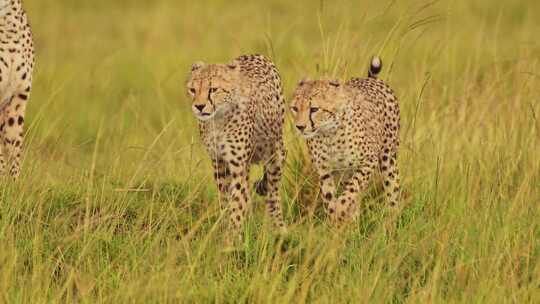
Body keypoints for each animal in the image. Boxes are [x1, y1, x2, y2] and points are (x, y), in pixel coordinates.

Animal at [186, 54, 286, 242]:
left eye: (213, 89)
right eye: (193, 90)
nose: (199, 106)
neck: (218, 119)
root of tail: (256, 54)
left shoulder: (239, 165)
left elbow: (238, 201)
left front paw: (232, 239)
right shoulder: (218, 162)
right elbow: (226, 199)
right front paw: (226, 228)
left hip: (276, 152)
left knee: (273, 192)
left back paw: (279, 228)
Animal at [292, 56, 400, 223]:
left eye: (314, 109)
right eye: (295, 108)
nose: (300, 127)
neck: (329, 133)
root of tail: (371, 80)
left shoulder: (368, 161)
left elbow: (352, 189)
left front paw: (340, 211)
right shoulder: (325, 169)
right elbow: (329, 196)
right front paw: (335, 219)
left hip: (388, 159)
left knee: (392, 191)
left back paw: (392, 221)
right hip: (346, 172)